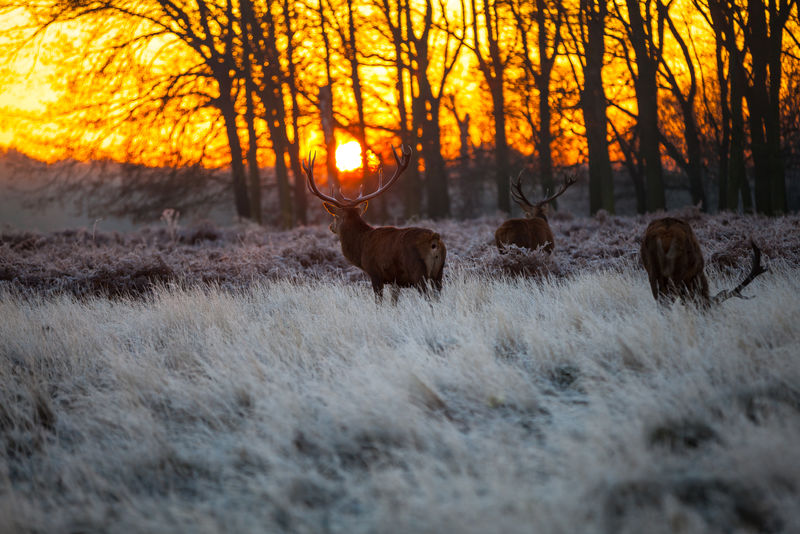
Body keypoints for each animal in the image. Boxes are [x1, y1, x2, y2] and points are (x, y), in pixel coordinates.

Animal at [304, 146, 446, 302]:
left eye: (335, 216)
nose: (331, 227)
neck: (360, 248)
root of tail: (434, 239)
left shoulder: (375, 273)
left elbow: (379, 301)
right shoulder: (394, 281)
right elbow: (393, 301)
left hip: (418, 272)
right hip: (439, 273)